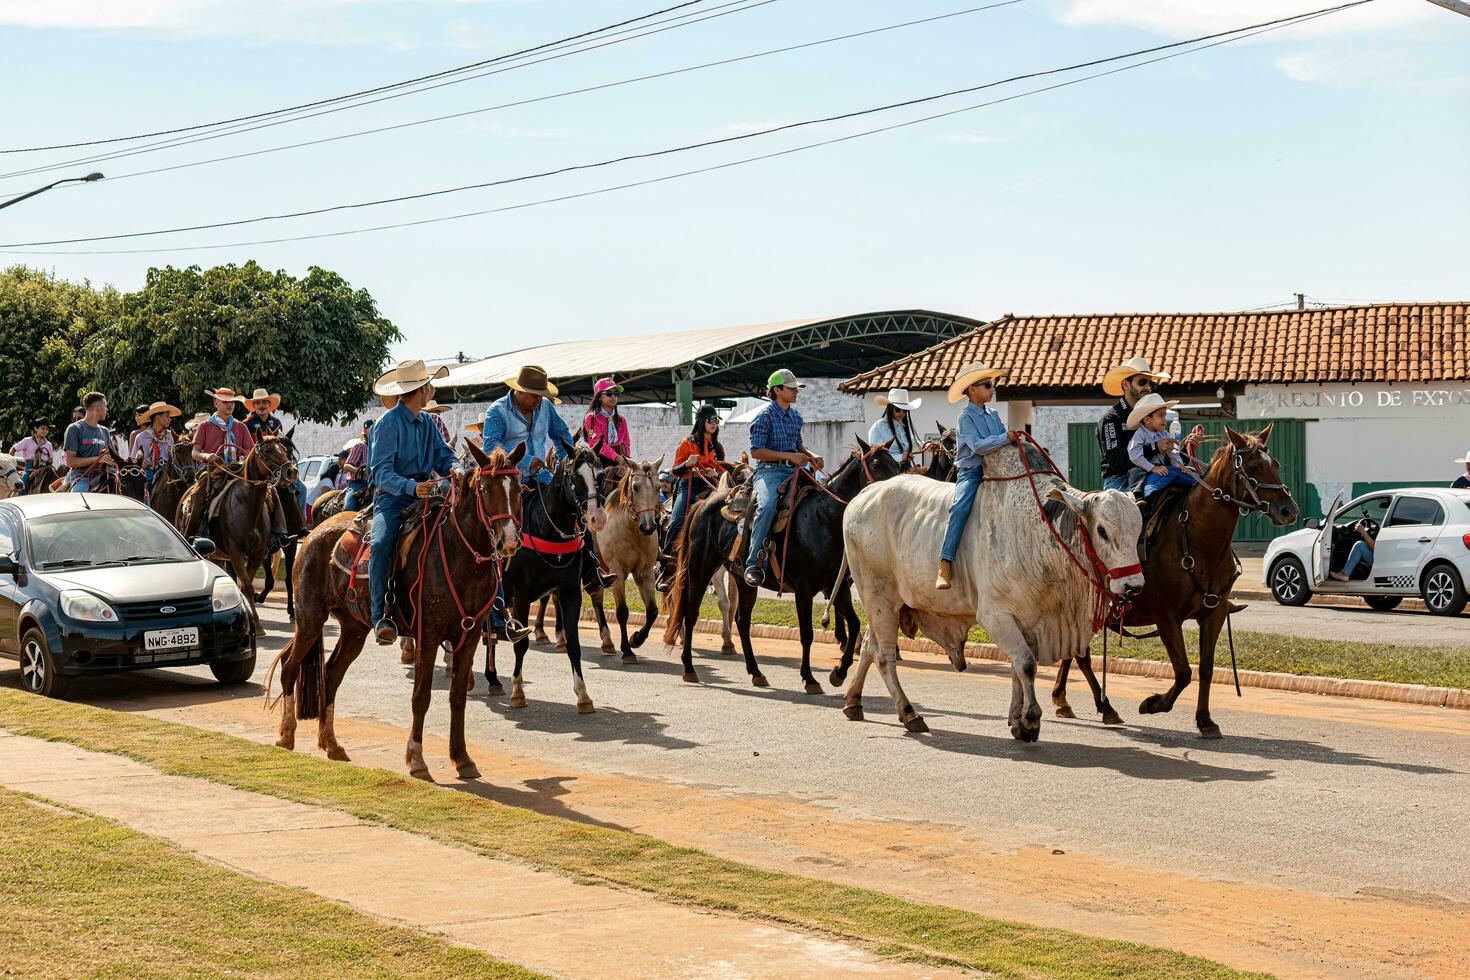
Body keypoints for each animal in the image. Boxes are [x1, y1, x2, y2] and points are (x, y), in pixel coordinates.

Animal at [270, 440, 523, 775]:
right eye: (484, 488)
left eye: (518, 488)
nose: (508, 542)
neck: (458, 555)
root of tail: (314, 533)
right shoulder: (428, 636)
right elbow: (421, 696)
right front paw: (416, 759)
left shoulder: (467, 639)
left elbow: (457, 696)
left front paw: (462, 757)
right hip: (310, 618)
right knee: (290, 666)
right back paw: (286, 734)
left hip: (353, 629)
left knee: (331, 674)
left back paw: (332, 743)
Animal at [846, 440, 1140, 740]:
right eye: (1102, 530)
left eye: (1138, 529)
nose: (1133, 585)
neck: (1041, 533)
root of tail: (863, 496)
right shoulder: (996, 616)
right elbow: (1027, 665)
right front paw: (1031, 719)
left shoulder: (1031, 620)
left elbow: (1017, 668)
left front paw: (1017, 720)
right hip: (879, 598)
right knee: (884, 655)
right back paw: (908, 713)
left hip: (885, 603)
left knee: (869, 647)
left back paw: (853, 701)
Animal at [1046, 426, 1299, 740]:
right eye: (1253, 468)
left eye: (1275, 464)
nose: (1289, 510)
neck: (1198, 541)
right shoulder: (1166, 616)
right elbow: (1183, 671)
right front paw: (1154, 703)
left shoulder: (1213, 614)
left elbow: (1205, 668)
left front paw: (1205, 720)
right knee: (1081, 656)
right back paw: (1104, 707)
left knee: (1074, 654)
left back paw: (1063, 700)